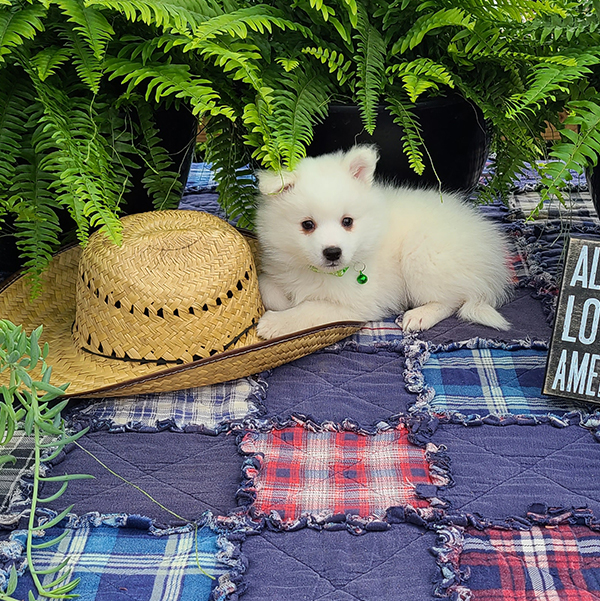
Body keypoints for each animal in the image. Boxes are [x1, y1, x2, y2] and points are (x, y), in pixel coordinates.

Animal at [255, 144, 512, 340]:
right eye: (307, 225)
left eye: (347, 221)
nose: (333, 252)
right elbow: (267, 286)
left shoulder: (354, 304)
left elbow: (309, 309)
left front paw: (273, 324)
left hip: (423, 256)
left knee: (452, 299)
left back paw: (420, 315)